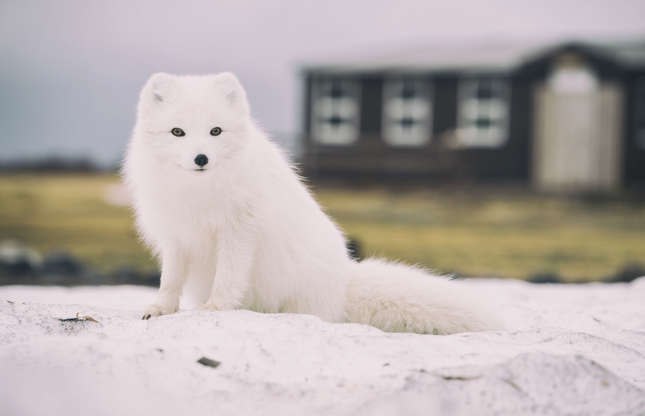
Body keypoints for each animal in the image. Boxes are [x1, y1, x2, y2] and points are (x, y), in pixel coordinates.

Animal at [123, 72, 500, 334]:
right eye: (177, 132)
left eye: (216, 131)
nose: (201, 159)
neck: (198, 191)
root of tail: (344, 281)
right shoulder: (176, 236)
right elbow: (169, 279)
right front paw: (160, 309)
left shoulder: (238, 231)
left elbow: (228, 276)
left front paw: (215, 308)